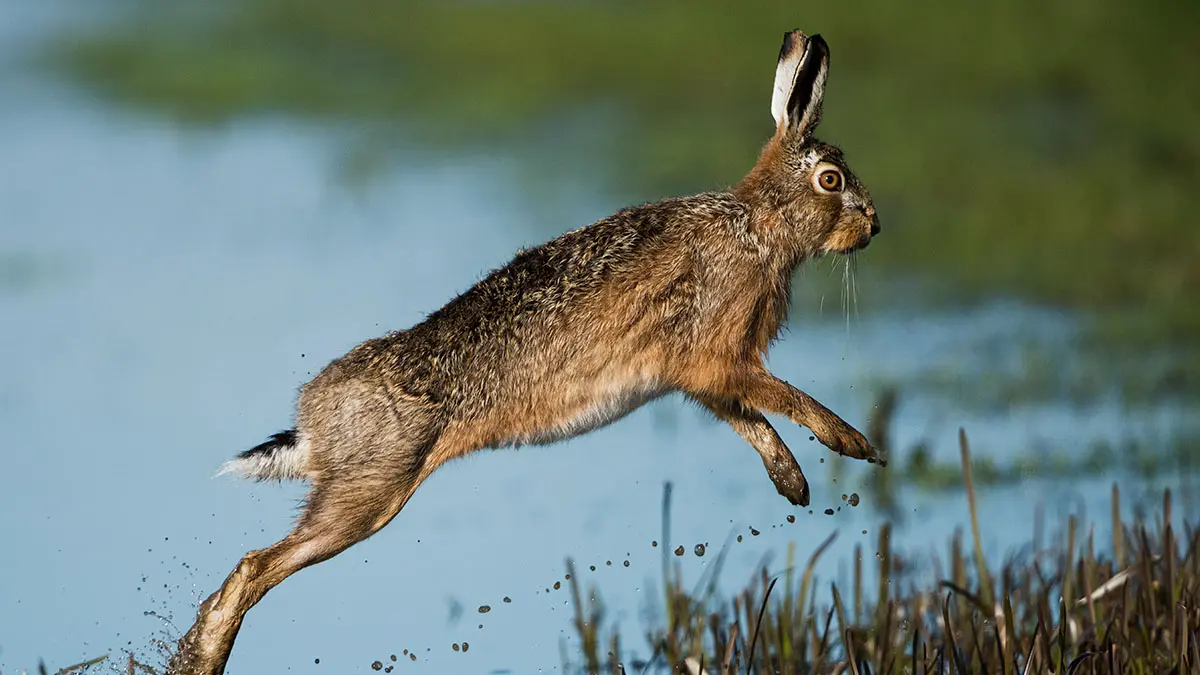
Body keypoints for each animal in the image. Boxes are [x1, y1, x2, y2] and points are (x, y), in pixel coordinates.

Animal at [170, 28, 883, 675]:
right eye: (830, 180)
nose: (874, 227)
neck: (759, 226)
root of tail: (313, 417)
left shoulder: (700, 376)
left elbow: (750, 419)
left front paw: (794, 485)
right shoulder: (718, 354)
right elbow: (781, 396)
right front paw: (854, 444)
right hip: (371, 491)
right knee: (253, 569)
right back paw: (202, 657)